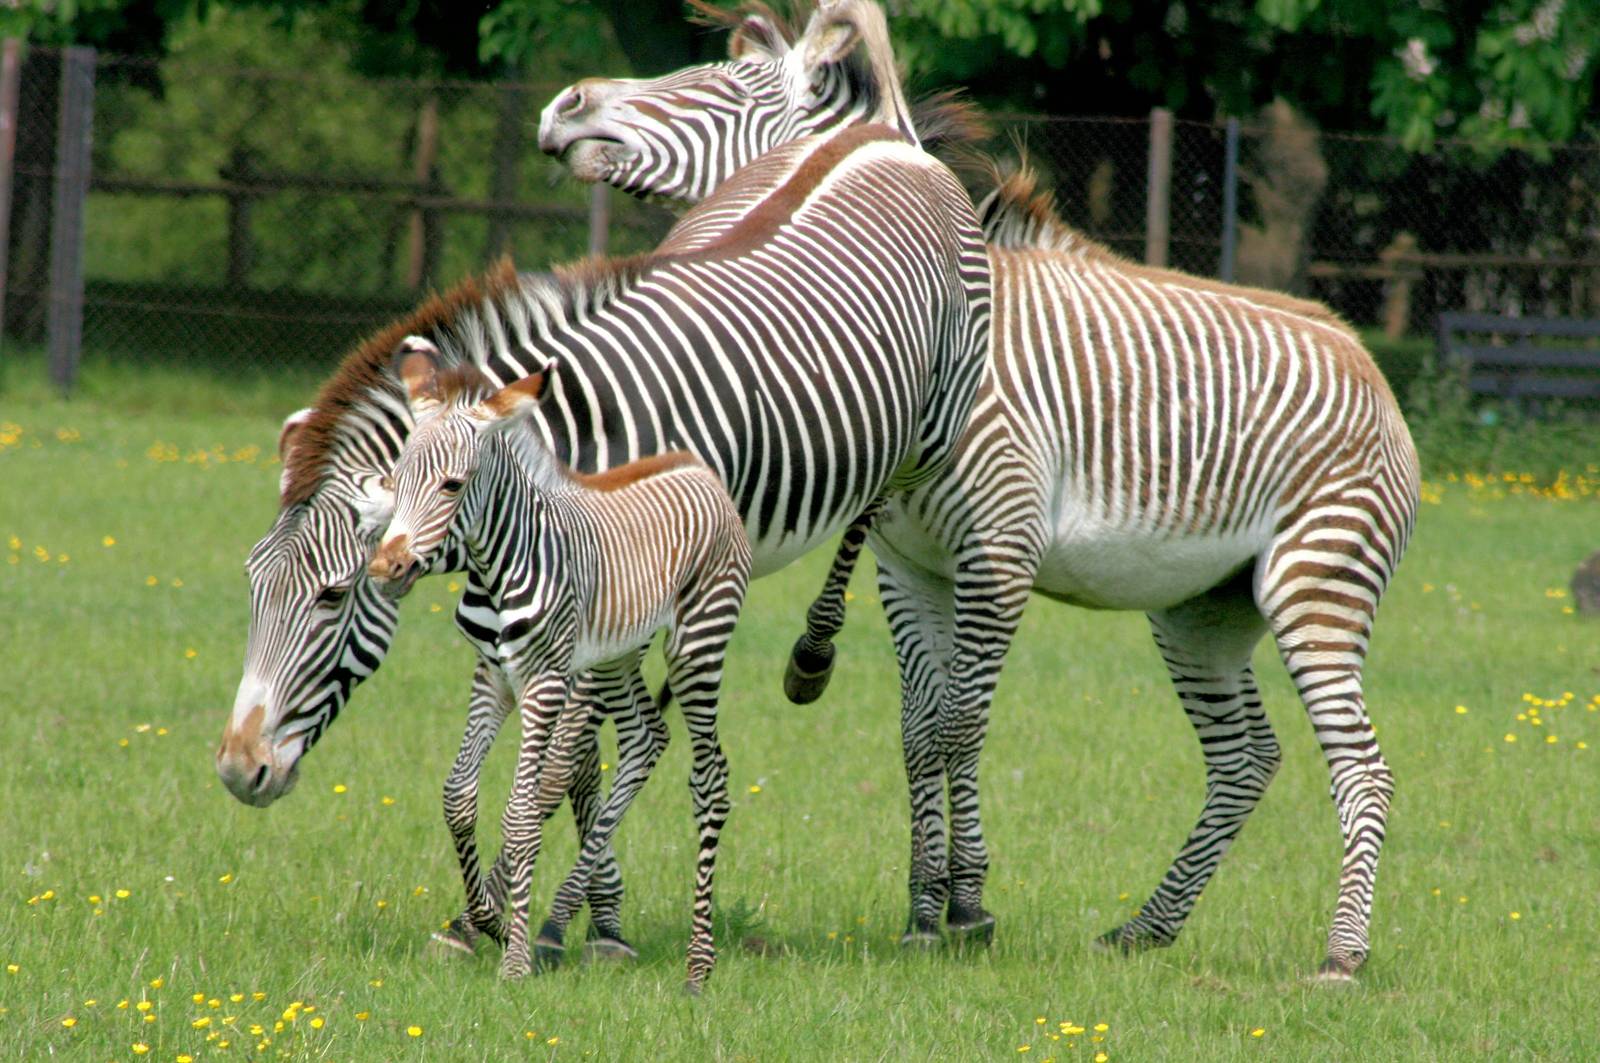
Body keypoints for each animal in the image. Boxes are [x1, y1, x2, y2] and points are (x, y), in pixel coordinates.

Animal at [366, 343, 751, 987]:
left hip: (699, 642)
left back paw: (699, 966)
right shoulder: (491, 675)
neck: (498, 567)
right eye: (396, 481)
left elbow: (521, 812)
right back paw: (567, 919)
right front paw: (488, 922)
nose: (385, 569)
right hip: (619, 654)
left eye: (452, 486)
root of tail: (697, 467)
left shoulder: (544, 681)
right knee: (647, 738)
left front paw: (514, 958)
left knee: (711, 779)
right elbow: (458, 796)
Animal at [538, 1, 1421, 980]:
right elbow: (920, 727)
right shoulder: (908, 562)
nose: (565, 106)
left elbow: (959, 723)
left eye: (724, 83)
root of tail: (1370, 366)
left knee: (1363, 766)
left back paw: (1343, 954)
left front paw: (963, 905)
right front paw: (928, 904)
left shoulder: (997, 548)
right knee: (1246, 759)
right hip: (1203, 608)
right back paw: (1148, 926)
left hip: (1317, 581)